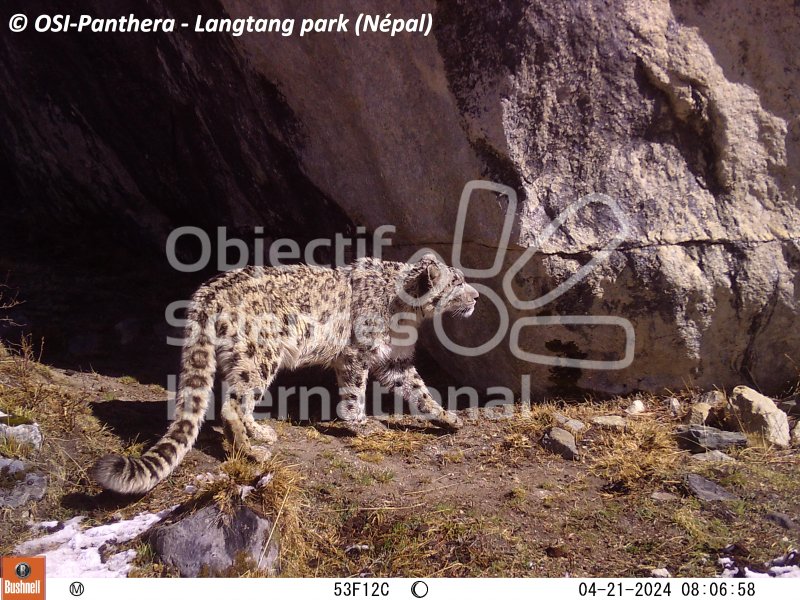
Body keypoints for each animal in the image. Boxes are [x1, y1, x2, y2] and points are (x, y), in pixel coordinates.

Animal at [94, 253, 482, 492]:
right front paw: (362, 425)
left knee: (238, 401)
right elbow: (354, 393)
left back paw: (260, 433)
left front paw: (448, 417)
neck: (407, 315)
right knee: (232, 405)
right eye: (456, 283)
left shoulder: (394, 361)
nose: (477, 297)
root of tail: (208, 292)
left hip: (245, 360)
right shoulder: (356, 355)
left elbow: (418, 389)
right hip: (260, 356)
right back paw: (252, 452)